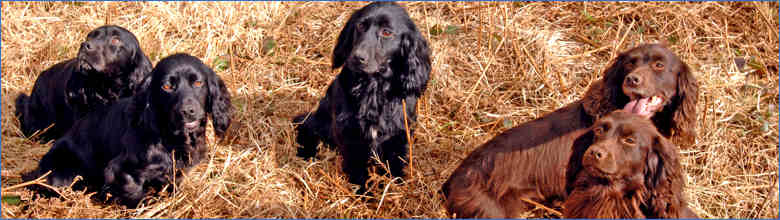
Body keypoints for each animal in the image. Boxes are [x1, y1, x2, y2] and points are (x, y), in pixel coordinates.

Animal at [22, 53, 232, 208]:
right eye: (166, 86)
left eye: (198, 83)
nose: (188, 111)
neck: (168, 137)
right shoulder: (119, 170)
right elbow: (135, 194)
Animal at [294, 1, 432, 192]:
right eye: (360, 26)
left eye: (386, 32)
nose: (357, 57)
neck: (373, 89)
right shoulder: (350, 136)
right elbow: (357, 169)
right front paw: (364, 193)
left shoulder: (399, 134)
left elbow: (394, 163)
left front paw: (395, 187)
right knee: (305, 125)